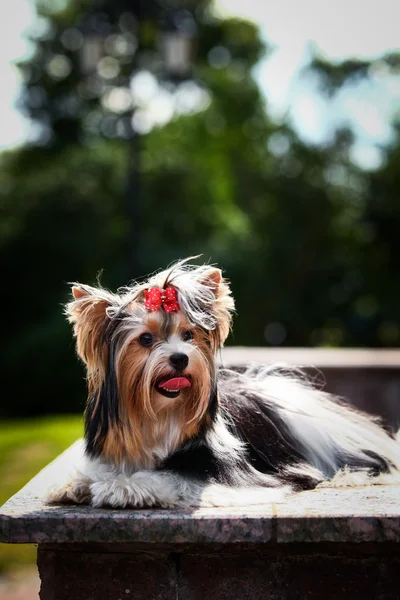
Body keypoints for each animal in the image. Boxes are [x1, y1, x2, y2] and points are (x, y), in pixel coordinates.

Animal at [48, 255, 400, 508]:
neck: (161, 417)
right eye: (145, 339)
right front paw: (77, 485)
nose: (180, 358)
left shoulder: (228, 475)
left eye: (189, 335)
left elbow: (172, 478)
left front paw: (123, 487)